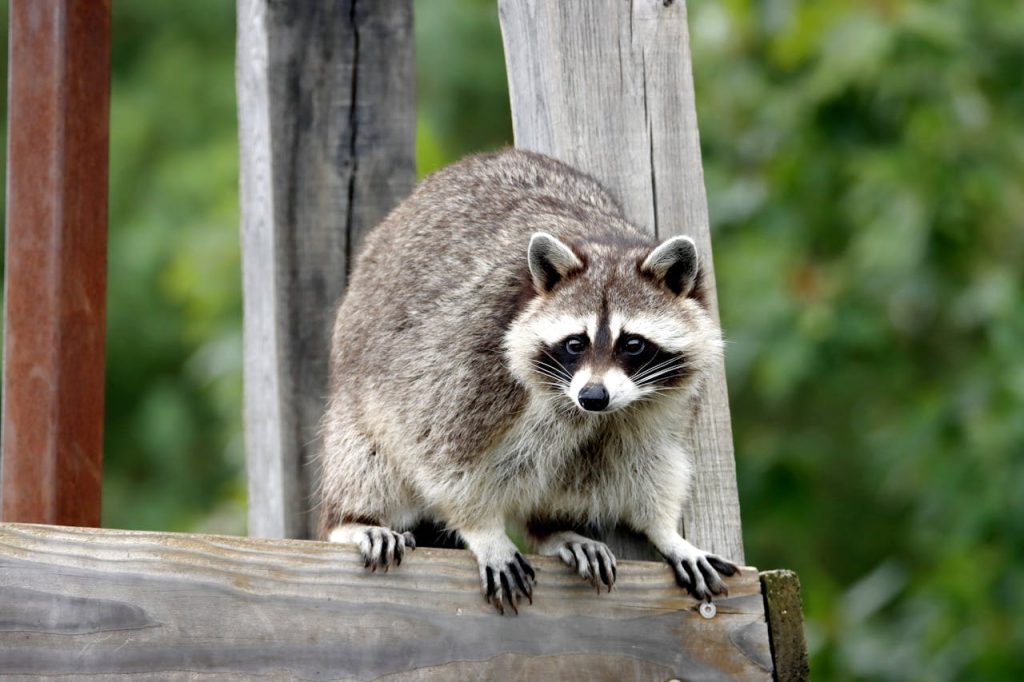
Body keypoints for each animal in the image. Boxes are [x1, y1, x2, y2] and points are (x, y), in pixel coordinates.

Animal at [319, 149, 738, 613]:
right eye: (575, 343)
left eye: (632, 344)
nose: (593, 396)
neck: (605, 242)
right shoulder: (471, 363)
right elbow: (443, 456)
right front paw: (483, 529)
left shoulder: (657, 404)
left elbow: (651, 460)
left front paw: (664, 530)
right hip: (359, 396)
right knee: (367, 458)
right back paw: (352, 519)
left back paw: (553, 529)